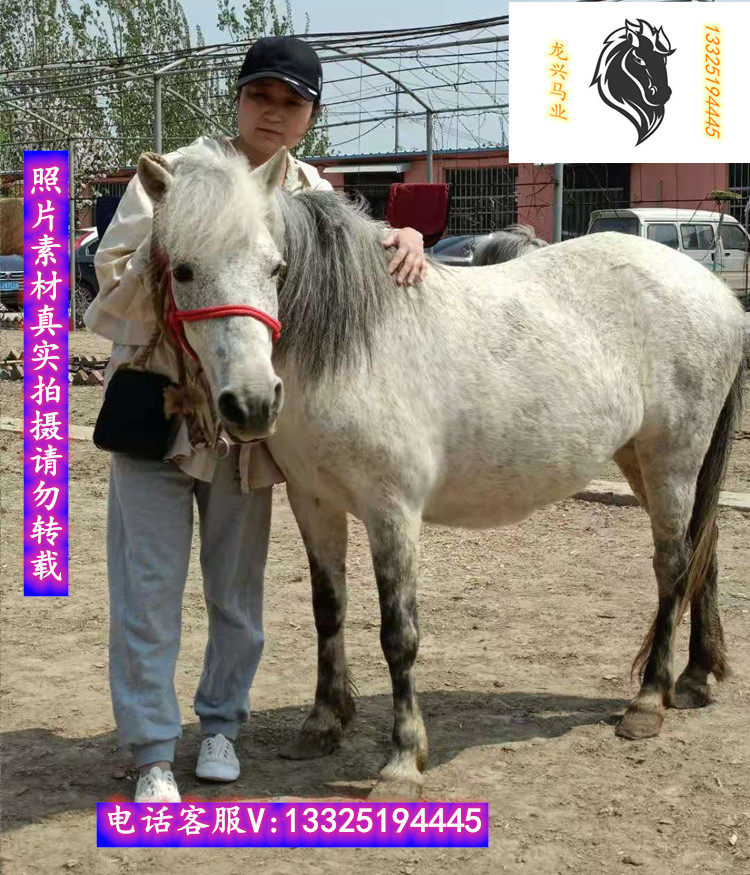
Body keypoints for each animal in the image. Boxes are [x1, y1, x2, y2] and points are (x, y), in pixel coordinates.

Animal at [137, 145, 746, 799]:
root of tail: (720, 295)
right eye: (183, 272)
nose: (250, 403)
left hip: (672, 457)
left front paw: (403, 759)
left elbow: (398, 633)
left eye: (276, 269)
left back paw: (649, 701)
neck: (348, 349)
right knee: (703, 552)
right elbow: (329, 609)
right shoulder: (313, 501)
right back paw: (695, 678)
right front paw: (323, 725)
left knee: (673, 566)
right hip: (643, 459)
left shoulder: (393, 512)